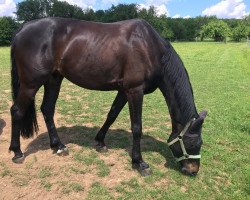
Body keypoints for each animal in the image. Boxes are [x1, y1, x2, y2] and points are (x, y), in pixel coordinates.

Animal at [9, 17, 207, 177]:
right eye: (193, 143)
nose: (193, 171)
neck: (148, 46)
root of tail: (22, 29)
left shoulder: (124, 91)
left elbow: (112, 114)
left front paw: (100, 141)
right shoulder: (135, 90)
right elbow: (137, 127)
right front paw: (139, 163)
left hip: (54, 79)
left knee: (47, 109)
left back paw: (58, 146)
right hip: (31, 84)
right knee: (17, 111)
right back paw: (17, 152)